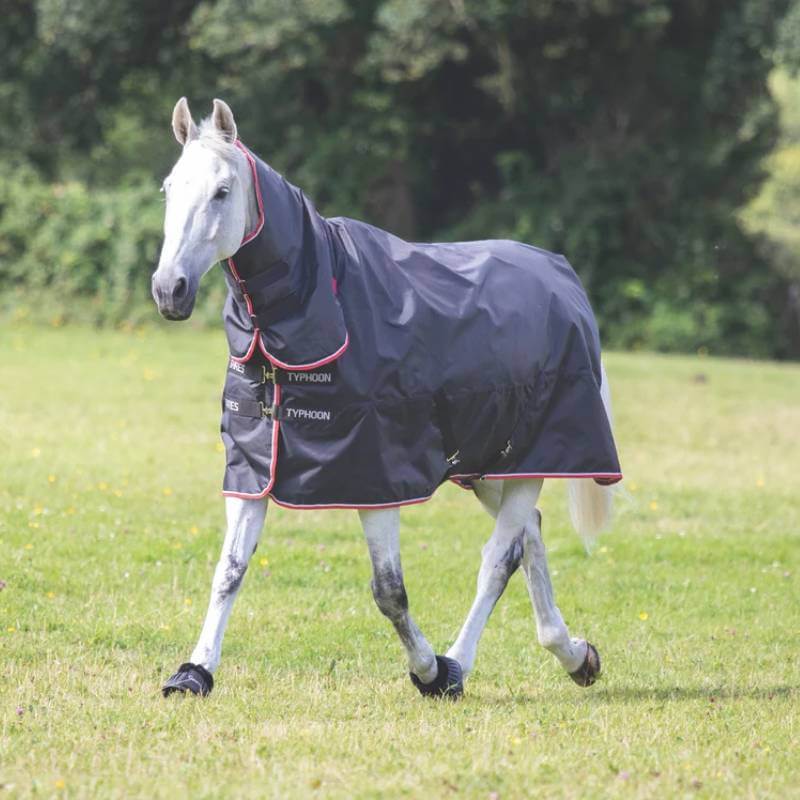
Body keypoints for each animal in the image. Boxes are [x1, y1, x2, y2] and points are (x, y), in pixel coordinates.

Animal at [153, 97, 622, 699]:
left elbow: (388, 591)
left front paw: (428, 671)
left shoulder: (374, 477)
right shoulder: (256, 467)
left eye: (222, 191)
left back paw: (458, 665)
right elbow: (229, 572)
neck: (323, 304)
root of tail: (565, 283)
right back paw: (575, 656)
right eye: (169, 188)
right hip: (487, 465)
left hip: (530, 459)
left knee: (500, 557)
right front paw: (195, 672)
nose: (170, 290)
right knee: (530, 537)